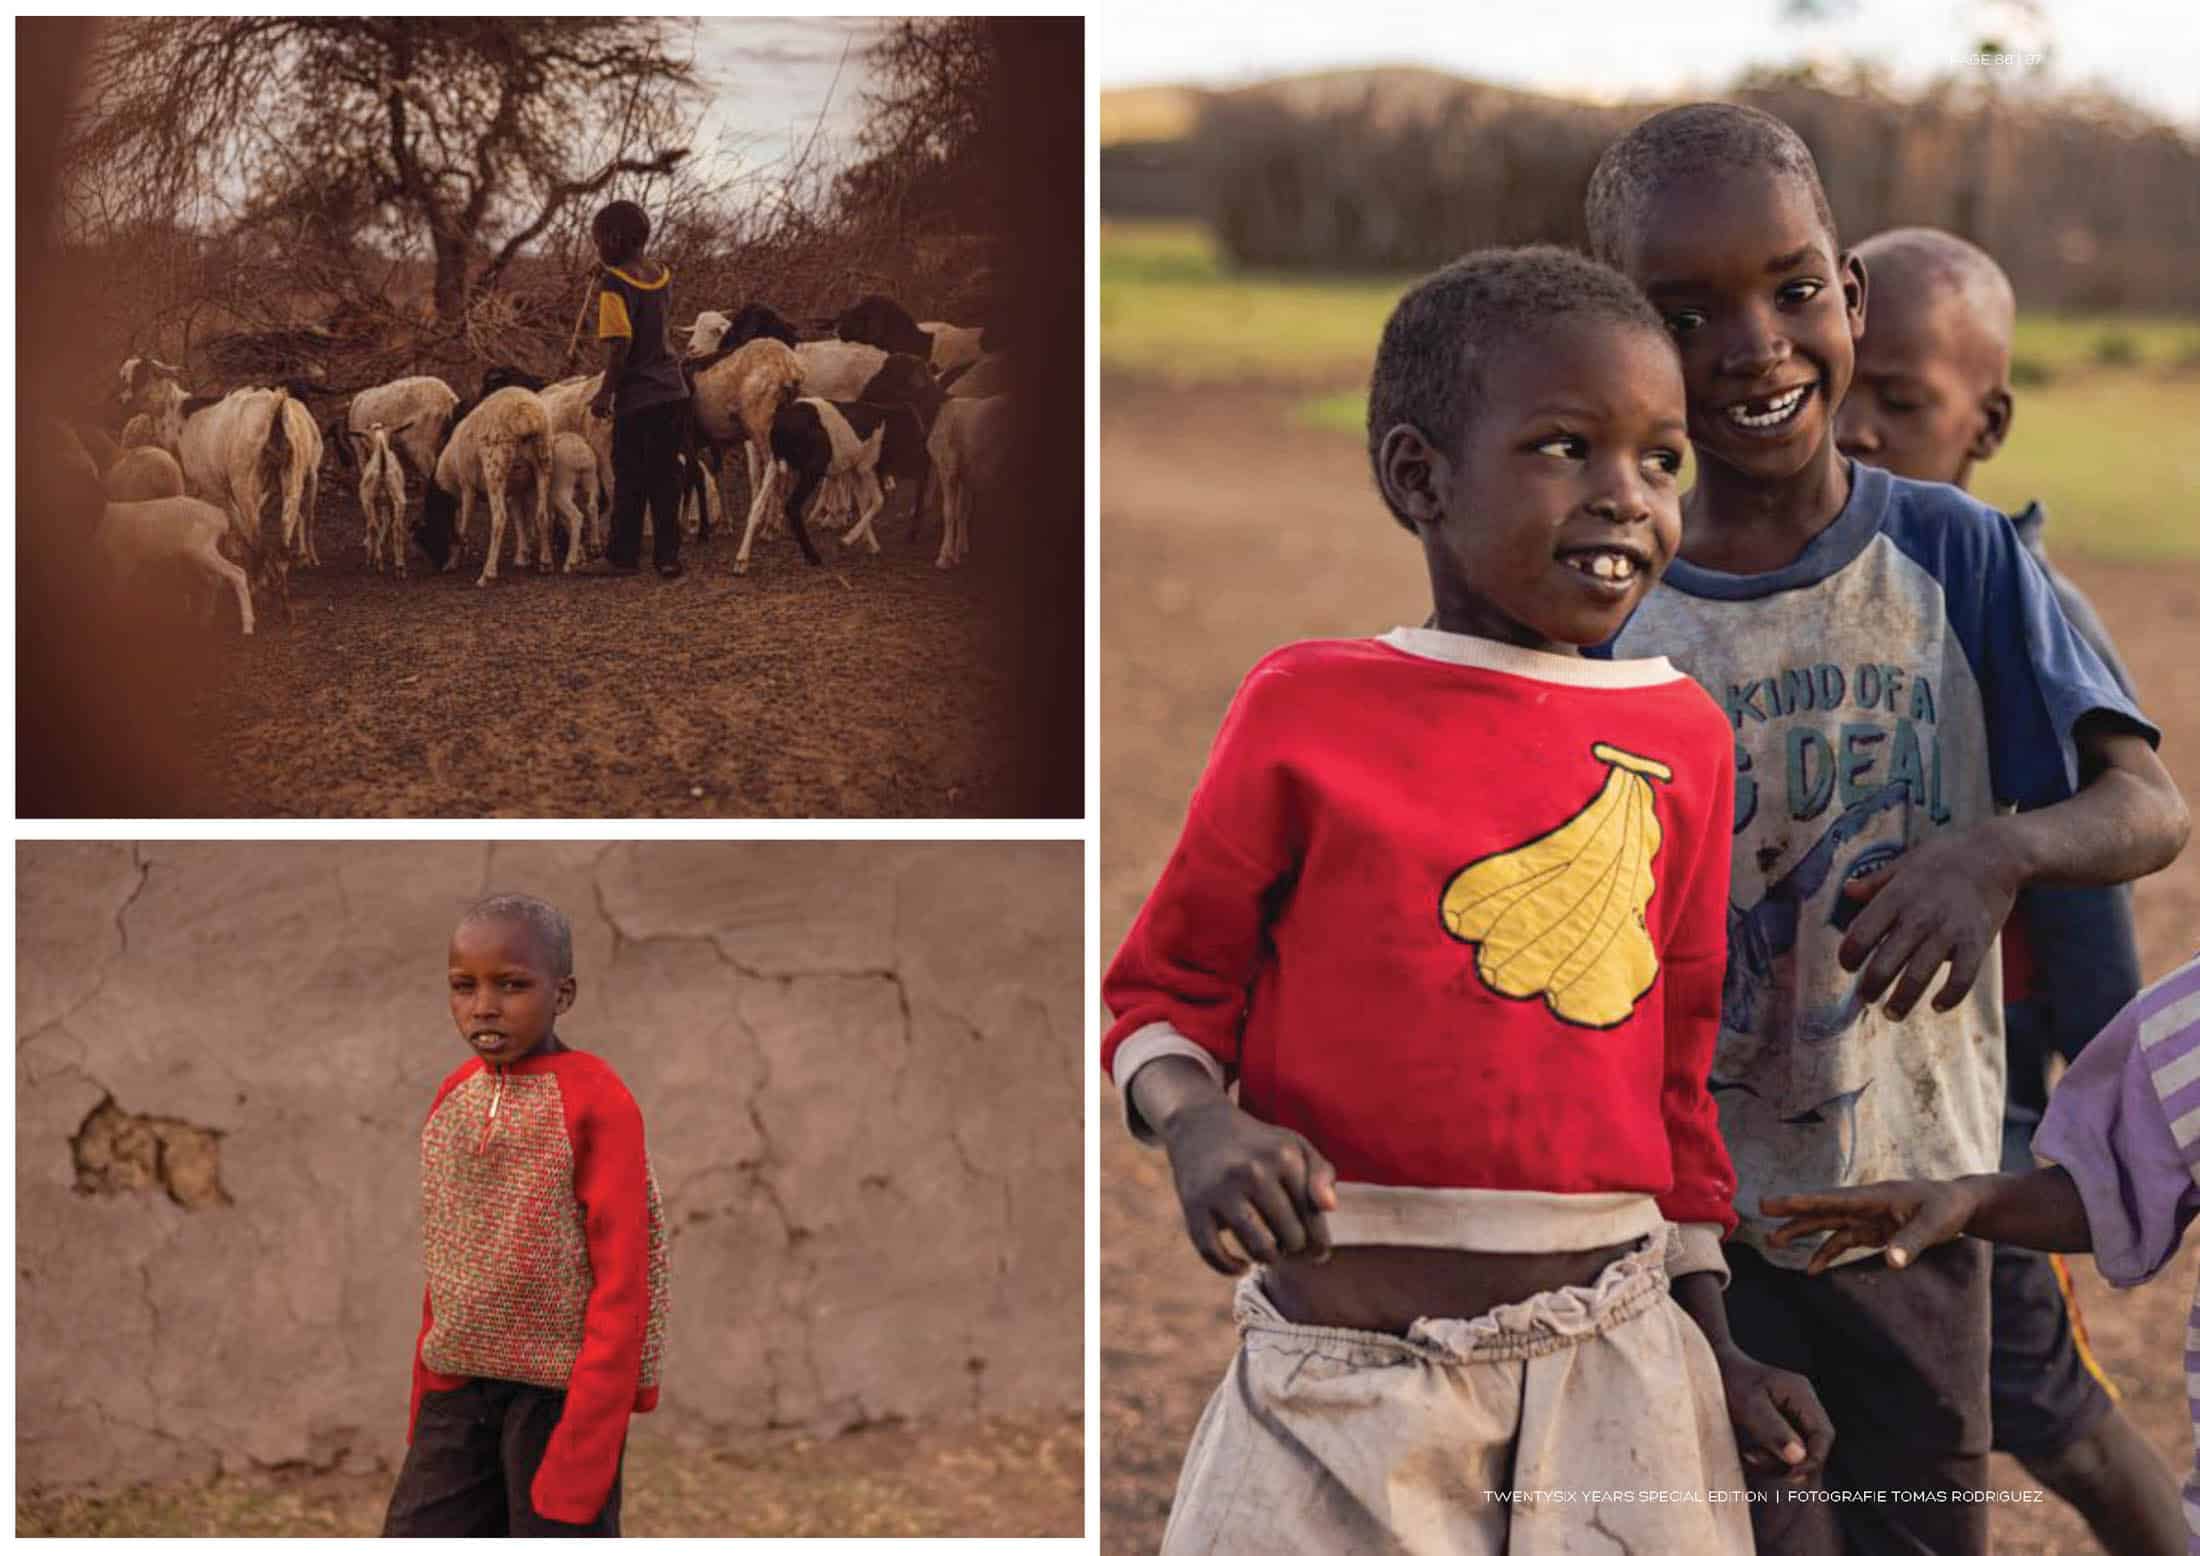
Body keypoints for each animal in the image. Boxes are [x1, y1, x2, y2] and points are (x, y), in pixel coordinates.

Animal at [97, 501, 257, 642]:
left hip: (202, 549)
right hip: (199, 554)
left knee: (237, 573)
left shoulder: (123, 560)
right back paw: (204, 621)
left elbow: (116, 594)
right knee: (214, 579)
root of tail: (220, 515)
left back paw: (247, 627)